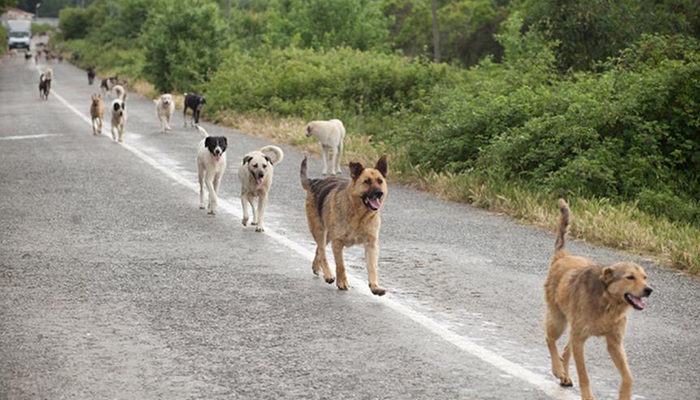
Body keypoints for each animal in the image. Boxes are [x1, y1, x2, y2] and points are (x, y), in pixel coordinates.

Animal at [300, 155, 392, 296]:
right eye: (367, 182)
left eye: (380, 181)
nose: (379, 193)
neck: (359, 215)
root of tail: (314, 182)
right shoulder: (337, 243)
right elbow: (341, 265)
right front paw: (342, 282)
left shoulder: (371, 244)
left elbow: (372, 267)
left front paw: (375, 286)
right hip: (320, 231)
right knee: (322, 251)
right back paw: (328, 274)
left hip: (327, 236)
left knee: (319, 250)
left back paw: (316, 267)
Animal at [544, 199, 652, 400]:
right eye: (630, 277)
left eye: (645, 277)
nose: (649, 290)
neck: (608, 303)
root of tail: (562, 256)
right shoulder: (580, 339)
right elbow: (584, 374)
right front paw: (587, 395)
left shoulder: (615, 343)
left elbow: (628, 377)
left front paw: (625, 395)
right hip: (558, 320)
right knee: (550, 340)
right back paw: (558, 370)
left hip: (573, 328)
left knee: (565, 349)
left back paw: (564, 375)